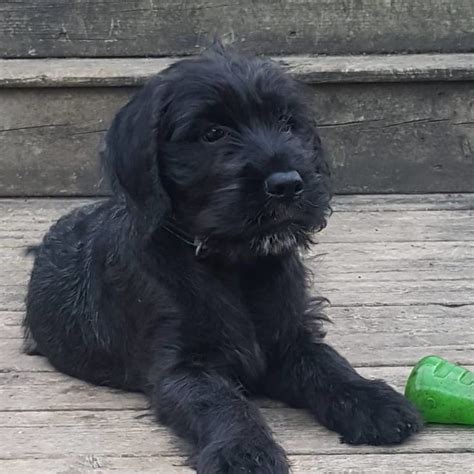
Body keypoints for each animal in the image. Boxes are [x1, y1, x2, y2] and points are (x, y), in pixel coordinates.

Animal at [24, 47, 420, 470]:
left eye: (287, 123)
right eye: (213, 134)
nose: (287, 184)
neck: (236, 265)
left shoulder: (291, 339)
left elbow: (328, 364)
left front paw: (373, 400)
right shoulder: (182, 367)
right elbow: (220, 402)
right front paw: (244, 450)